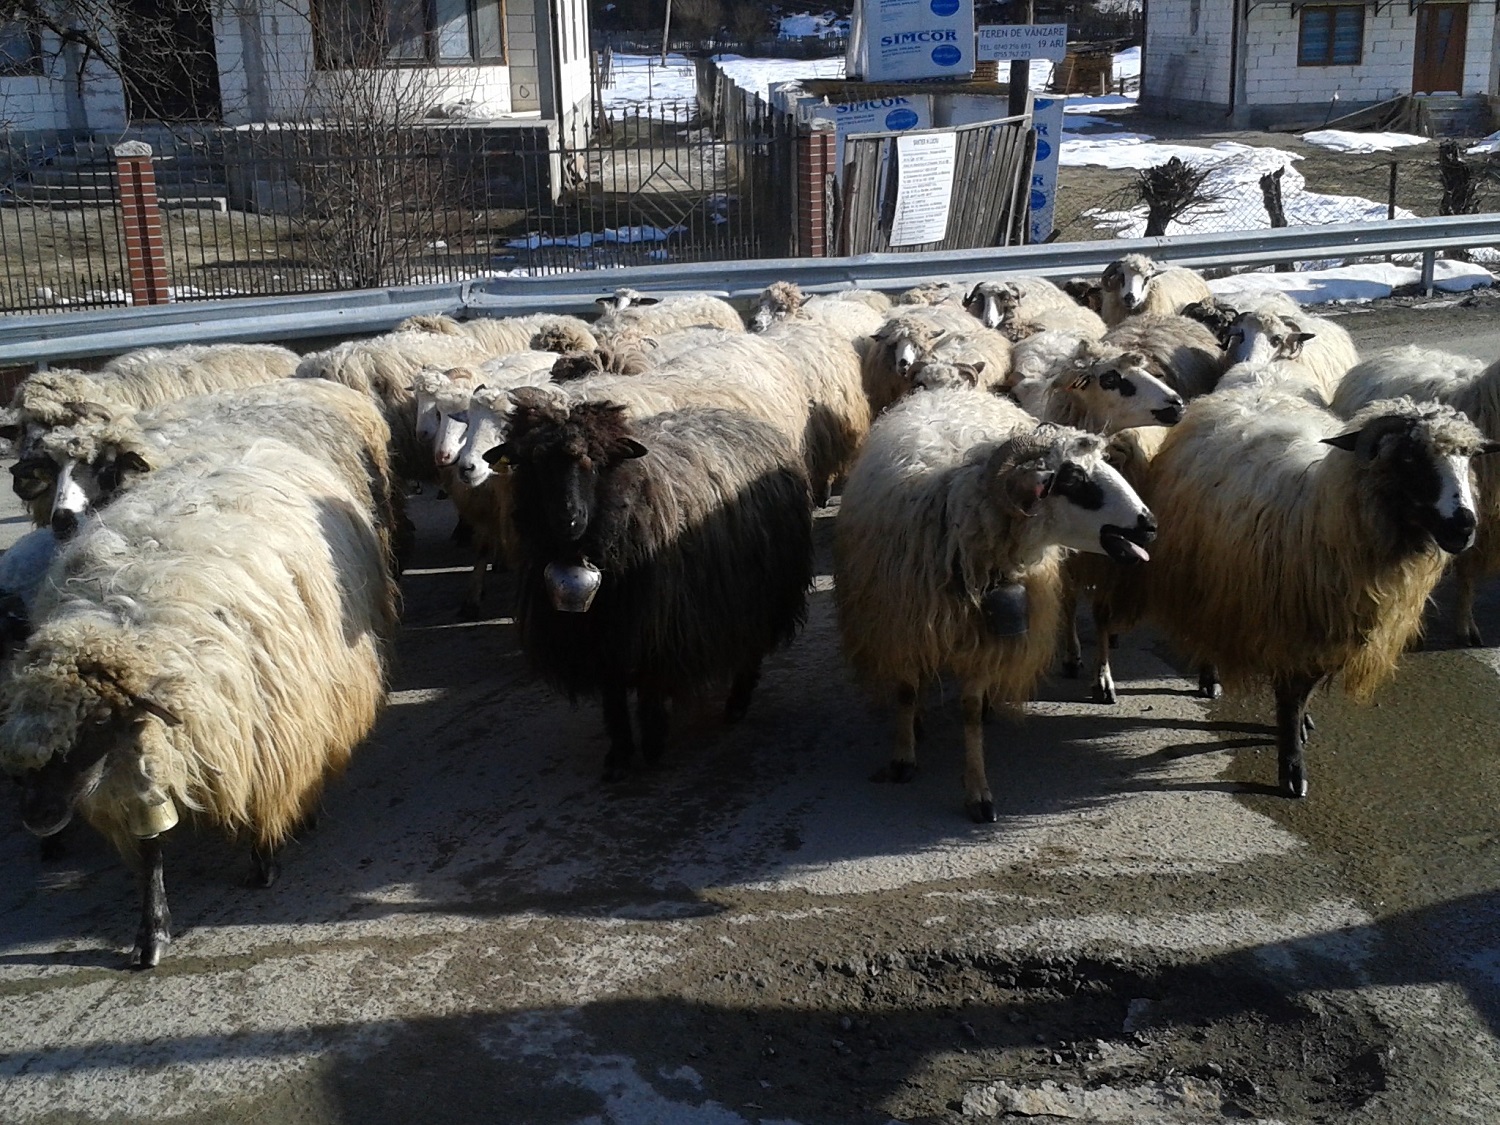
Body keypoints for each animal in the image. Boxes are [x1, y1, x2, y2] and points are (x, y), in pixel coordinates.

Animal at [1, 438, 399, 972]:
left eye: (100, 719)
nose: (37, 817)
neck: (126, 628)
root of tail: (256, 444)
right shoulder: (144, 751)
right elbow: (150, 849)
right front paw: (152, 931)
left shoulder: (261, 731)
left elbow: (263, 798)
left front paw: (264, 860)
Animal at [840, 387, 1152, 822]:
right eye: (1074, 480)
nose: (1149, 525)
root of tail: (948, 391)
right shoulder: (902, 623)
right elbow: (904, 690)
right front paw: (903, 756)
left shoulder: (983, 638)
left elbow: (970, 711)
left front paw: (978, 791)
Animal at [1146, 390, 1488, 804]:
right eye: (1410, 458)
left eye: (1467, 457)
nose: (1464, 526)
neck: (1326, 517)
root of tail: (1230, 394)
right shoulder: (1289, 629)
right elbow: (1289, 699)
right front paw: (1292, 768)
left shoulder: (1326, 634)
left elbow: (1301, 694)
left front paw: (1300, 726)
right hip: (1203, 583)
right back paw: (1210, 678)